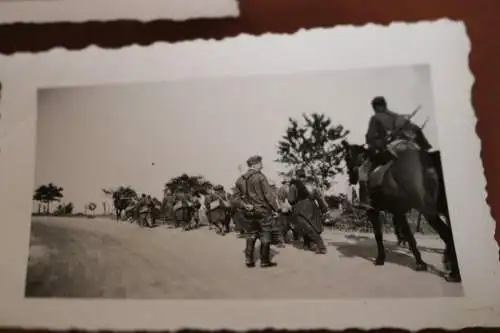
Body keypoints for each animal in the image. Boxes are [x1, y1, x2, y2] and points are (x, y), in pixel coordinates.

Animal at [344, 139, 460, 282]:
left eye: (347, 158)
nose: (351, 178)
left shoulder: (377, 212)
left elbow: (379, 235)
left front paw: (380, 259)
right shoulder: (399, 212)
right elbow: (408, 235)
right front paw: (420, 262)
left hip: (429, 212)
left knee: (447, 234)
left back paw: (453, 272)